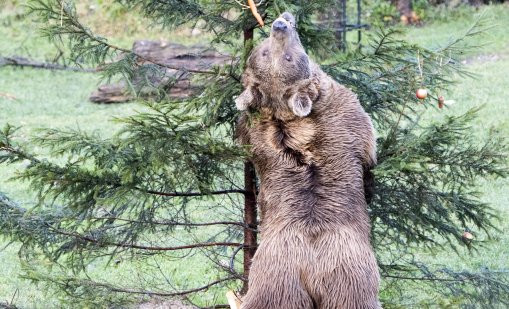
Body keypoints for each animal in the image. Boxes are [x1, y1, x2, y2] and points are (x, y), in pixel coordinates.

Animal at [236, 12, 380, 308]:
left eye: (285, 56)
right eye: (277, 54)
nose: (281, 23)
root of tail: (309, 265)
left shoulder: (253, 133)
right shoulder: (347, 114)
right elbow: (369, 146)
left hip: (276, 279)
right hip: (350, 274)